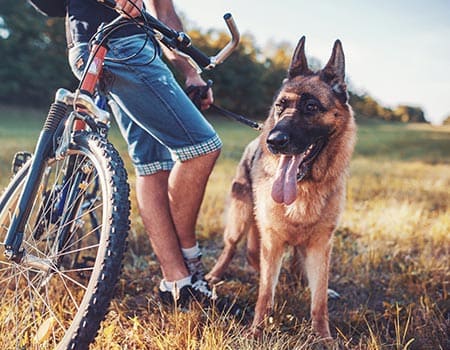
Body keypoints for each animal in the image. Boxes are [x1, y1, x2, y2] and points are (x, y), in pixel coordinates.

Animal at [206, 37, 356, 338]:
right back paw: (215, 275)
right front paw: (257, 331)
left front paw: (323, 336)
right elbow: (265, 293)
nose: (274, 141)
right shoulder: (272, 241)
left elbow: (318, 299)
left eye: (311, 107)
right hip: (240, 219)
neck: (305, 187)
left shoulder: (321, 244)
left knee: (301, 267)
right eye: (280, 105)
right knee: (230, 248)